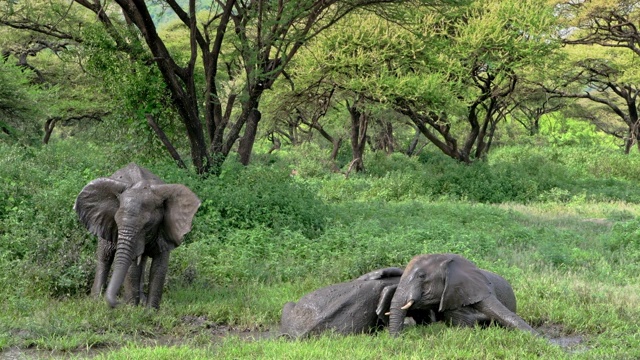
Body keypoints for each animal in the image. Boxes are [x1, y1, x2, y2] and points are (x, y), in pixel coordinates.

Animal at [72, 163, 199, 310]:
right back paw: (95, 300)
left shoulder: (165, 229)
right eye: (116, 221)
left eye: (147, 225)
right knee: (105, 256)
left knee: (141, 261)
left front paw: (150, 311)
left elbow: (159, 267)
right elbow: (132, 268)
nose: (119, 302)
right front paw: (132, 309)